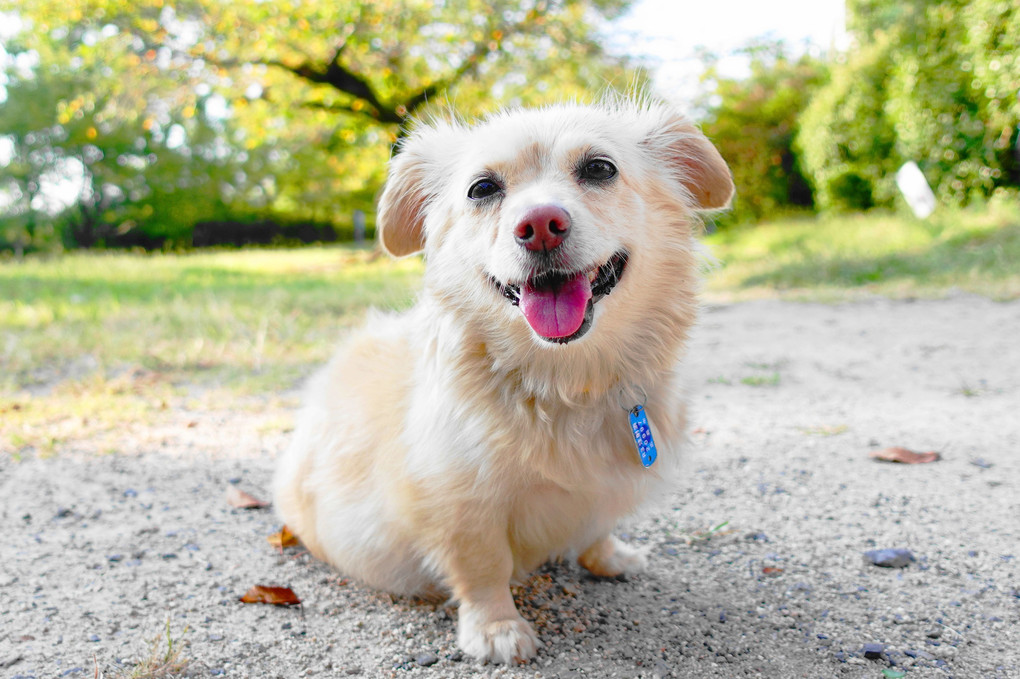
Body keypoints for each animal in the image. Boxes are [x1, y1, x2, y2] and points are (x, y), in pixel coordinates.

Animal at [271, 97, 734, 664]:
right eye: (483, 188)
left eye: (600, 168)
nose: (540, 224)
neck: (565, 382)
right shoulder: (457, 502)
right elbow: (483, 566)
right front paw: (496, 629)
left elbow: (599, 524)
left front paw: (609, 556)